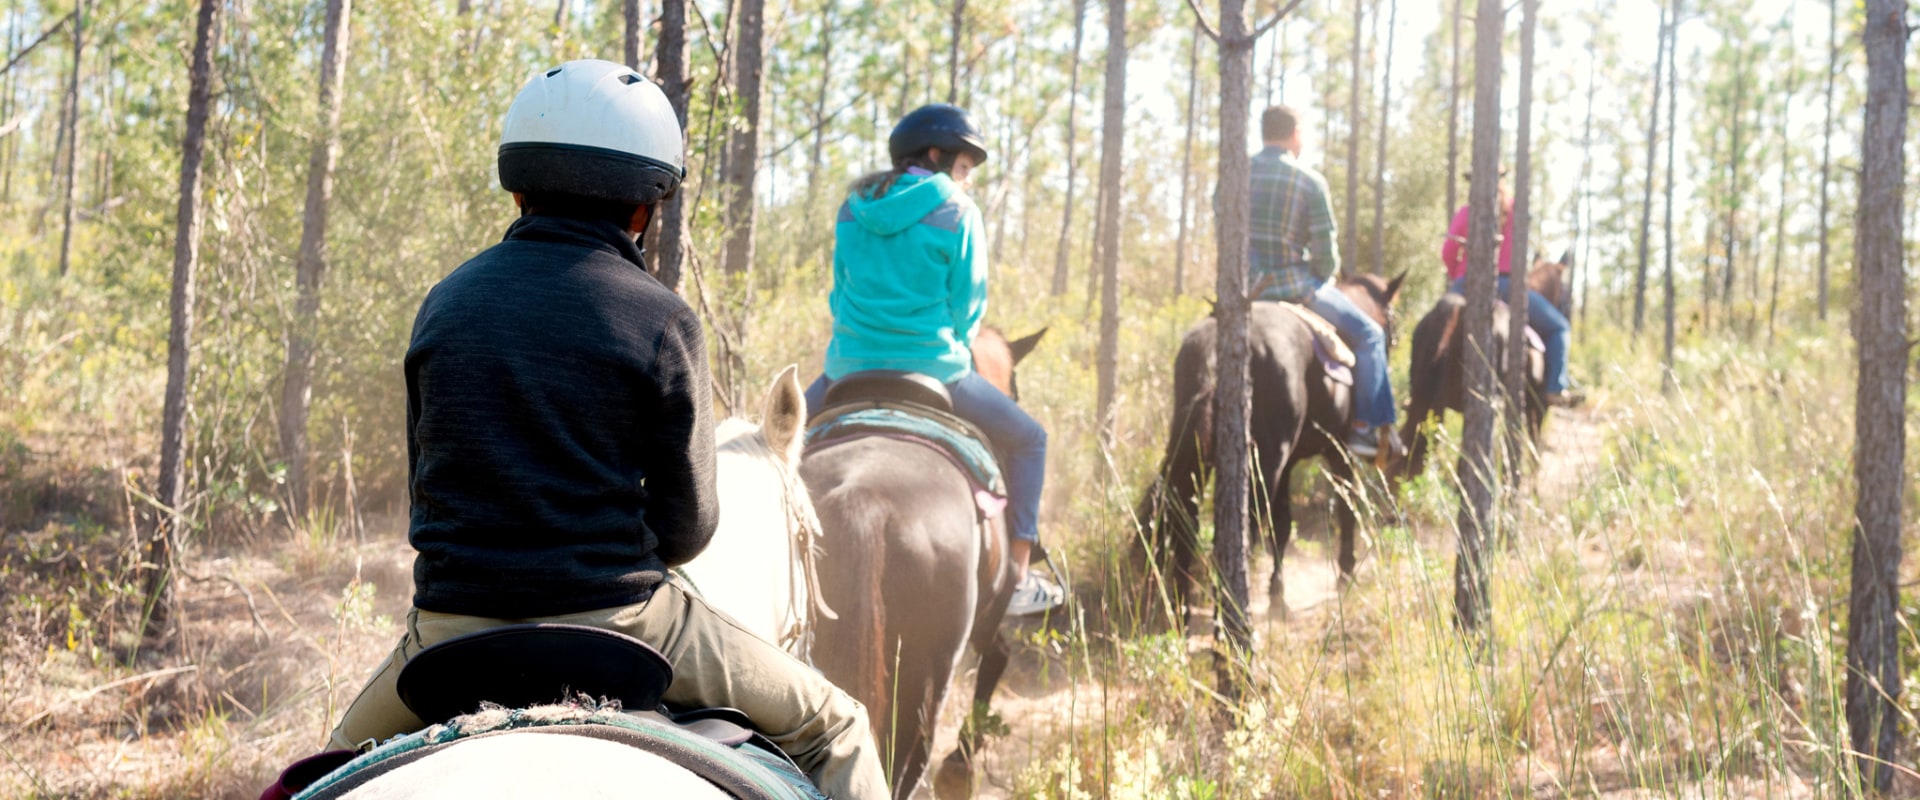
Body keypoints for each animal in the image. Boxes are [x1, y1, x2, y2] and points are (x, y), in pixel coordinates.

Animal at [806, 326, 1052, 798]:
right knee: (908, 755)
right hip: (929, 672)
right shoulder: (991, 610)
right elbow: (997, 656)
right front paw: (960, 767)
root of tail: (863, 498)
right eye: (1015, 387)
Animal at [1128, 274, 1405, 617]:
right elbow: (1345, 508)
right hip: (1264, 462)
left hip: (1193, 461)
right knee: (1241, 534)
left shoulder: (1288, 465)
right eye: (1391, 319)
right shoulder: (1338, 451)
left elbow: (1283, 525)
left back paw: (1184, 613)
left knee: (1184, 528)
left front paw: (1277, 596)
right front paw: (1345, 574)